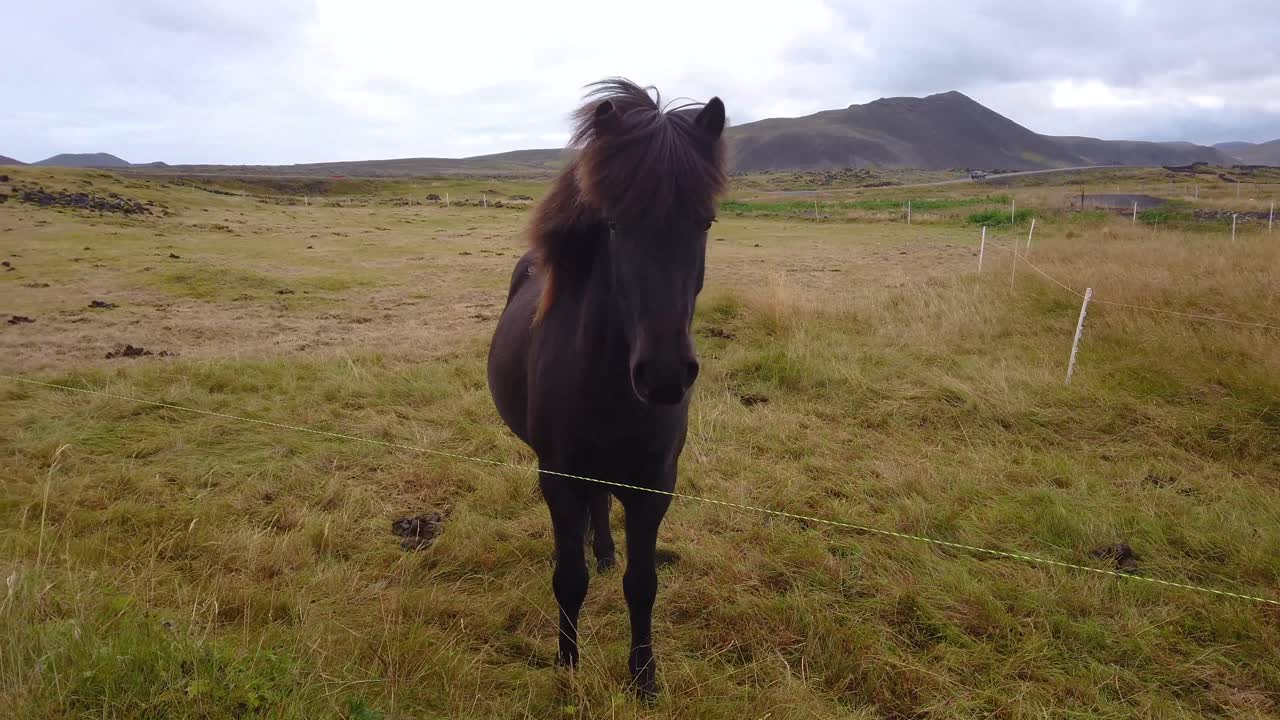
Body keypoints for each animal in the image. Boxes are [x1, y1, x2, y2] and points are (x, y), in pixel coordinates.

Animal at [486, 78, 727, 698]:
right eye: (615, 224)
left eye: (706, 223)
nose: (665, 375)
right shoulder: (558, 478)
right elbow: (567, 579)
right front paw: (567, 665)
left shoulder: (655, 485)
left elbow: (643, 585)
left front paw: (644, 678)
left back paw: (606, 552)